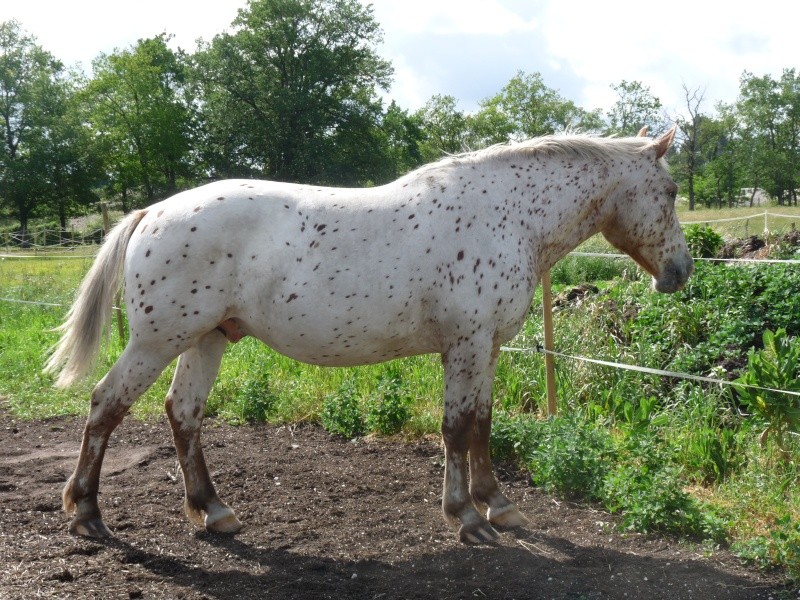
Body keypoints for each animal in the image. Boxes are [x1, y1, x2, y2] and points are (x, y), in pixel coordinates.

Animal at [45, 125, 692, 544]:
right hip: (157, 342)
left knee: (183, 415)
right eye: (670, 193)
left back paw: (213, 512)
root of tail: (150, 213)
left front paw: (499, 506)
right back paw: (87, 514)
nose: (680, 272)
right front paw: (466, 517)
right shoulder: (466, 344)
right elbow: (457, 429)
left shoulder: (486, 348)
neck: (508, 216)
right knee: (105, 405)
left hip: (207, 339)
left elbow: (483, 425)